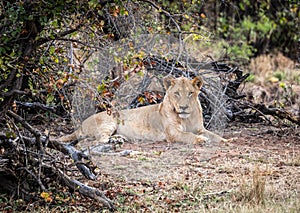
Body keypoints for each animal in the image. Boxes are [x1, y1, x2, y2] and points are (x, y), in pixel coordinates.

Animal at [59, 76, 227, 145]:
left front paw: (226, 141)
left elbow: (215, 135)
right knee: (97, 139)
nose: (184, 107)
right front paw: (200, 140)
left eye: (190, 93)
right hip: (109, 121)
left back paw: (118, 139)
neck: (187, 117)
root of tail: (81, 124)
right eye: (177, 93)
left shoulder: (200, 129)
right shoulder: (173, 133)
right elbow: (188, 135)